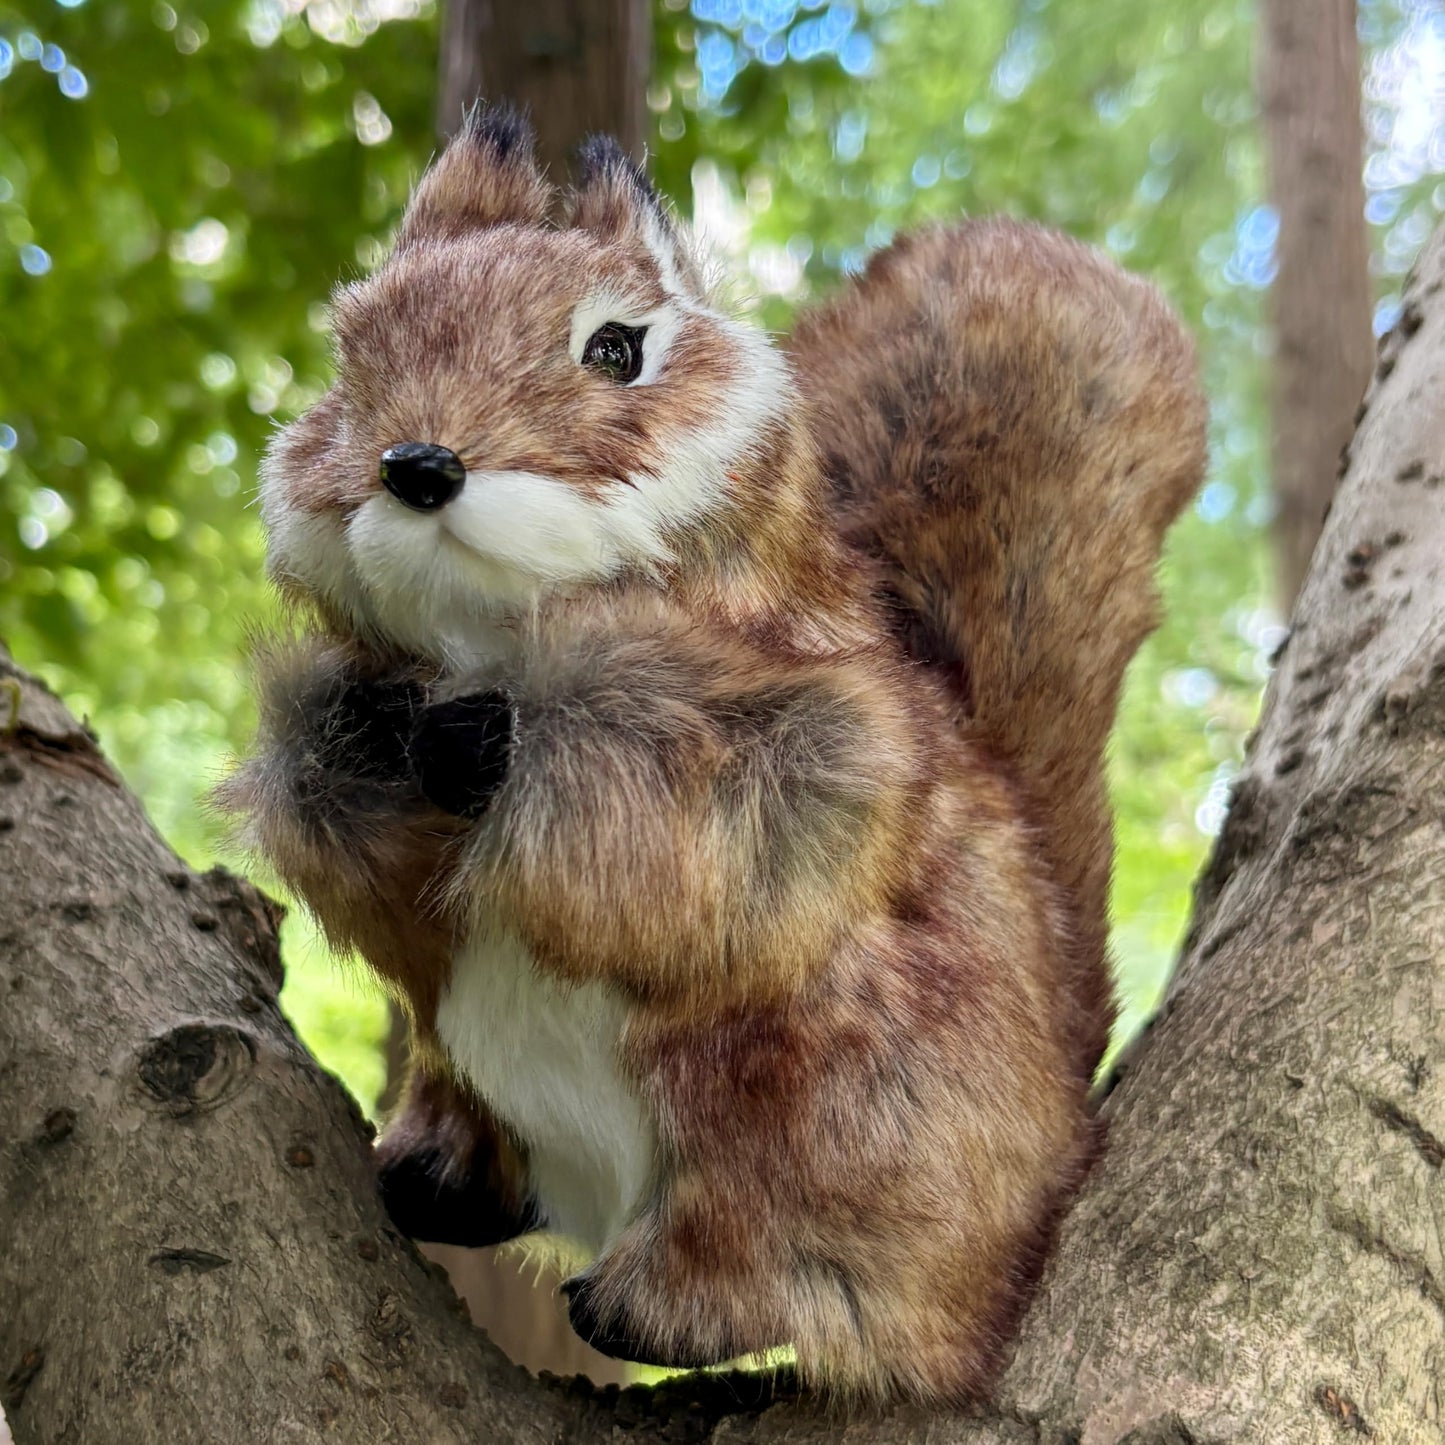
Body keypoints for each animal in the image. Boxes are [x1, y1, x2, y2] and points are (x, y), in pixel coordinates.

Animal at [221, 103, 1206, 1404]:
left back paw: (661, 1304)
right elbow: (359, 853)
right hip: (462, 1065)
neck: (493, 636)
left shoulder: (828, 736)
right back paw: (439, 1180)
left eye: (616, 347)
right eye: (347, 363)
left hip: (814, 1108)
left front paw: (482, 744)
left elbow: (701, 841)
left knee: (783, 1256)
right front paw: (381, 736)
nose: (416, 463)